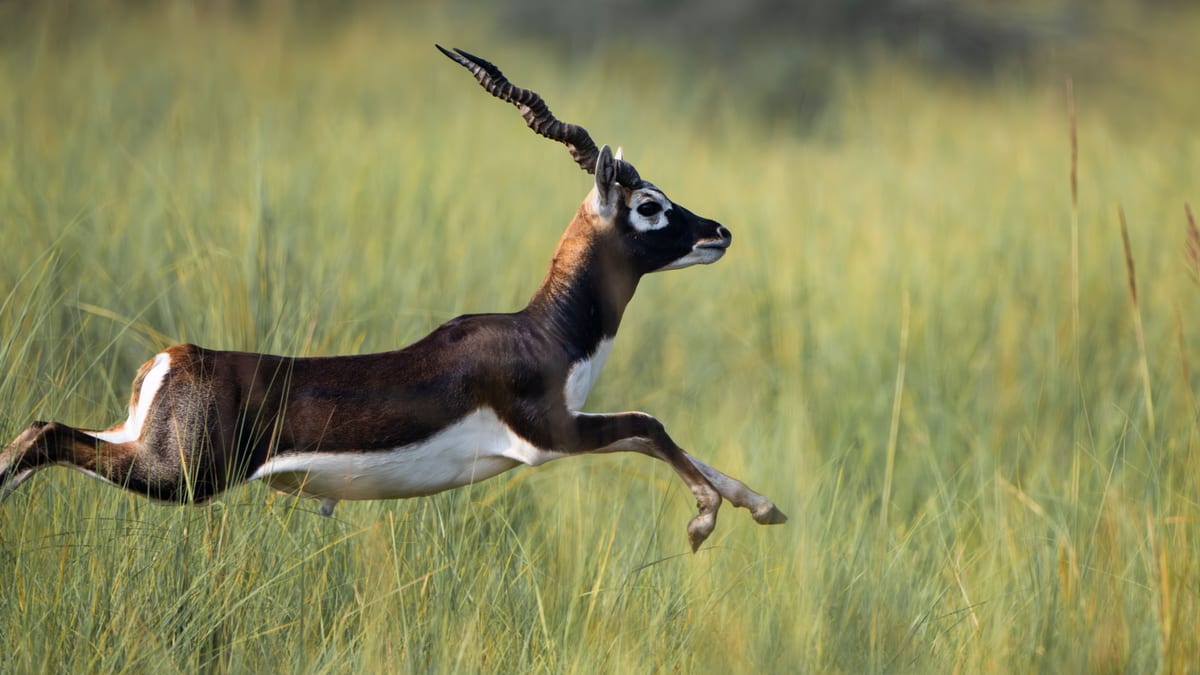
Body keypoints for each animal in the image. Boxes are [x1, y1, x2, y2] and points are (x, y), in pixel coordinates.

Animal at [0, 46, 786, 551]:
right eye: (649, 205)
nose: (718, 232)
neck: (545, 332)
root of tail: (173, 357)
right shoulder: (550, 436)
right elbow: (649, 424)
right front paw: (704, 522)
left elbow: (663, 433)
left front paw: (764, 505)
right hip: (180, 476)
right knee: (46, 436)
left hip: (141, 444)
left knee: (40, 427)